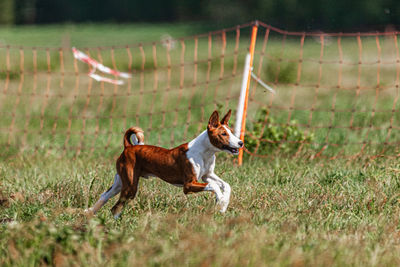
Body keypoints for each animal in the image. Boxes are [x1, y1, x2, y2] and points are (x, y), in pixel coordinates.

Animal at [86, 110, 244, 219]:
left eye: (231, 132)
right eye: (223, 134)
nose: (241, 142)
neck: (205, 152)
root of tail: (128, 147)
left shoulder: (207, 175)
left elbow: (225, 185)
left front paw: (223, 203)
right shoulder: (188, 185)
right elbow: (214, 186)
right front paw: (221, 201)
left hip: (121, 182)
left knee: (105, 196)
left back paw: (90, 213)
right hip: (130, 186)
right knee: (115, 207)